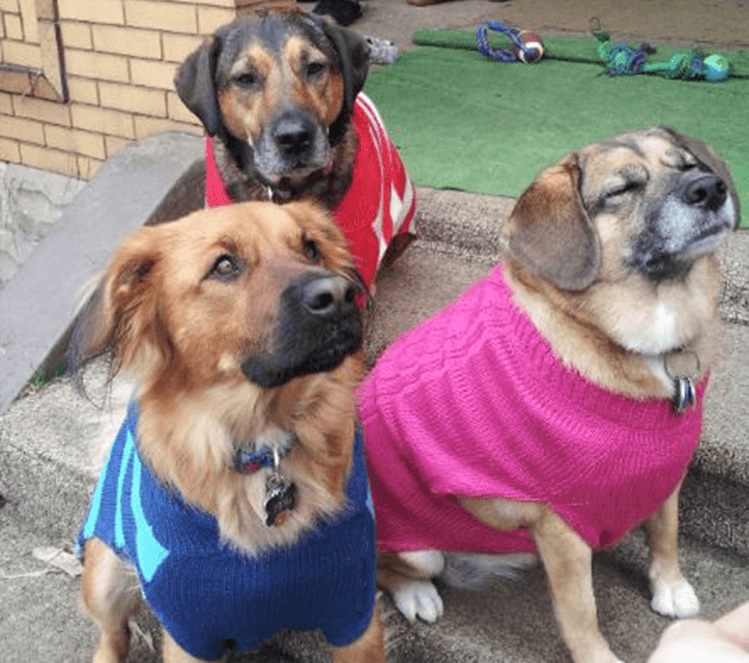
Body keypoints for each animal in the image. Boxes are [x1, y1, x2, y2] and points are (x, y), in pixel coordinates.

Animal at [75, 202, 382, 663]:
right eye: (224, 265)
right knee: (112, 633)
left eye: (311, 247)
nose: (340, 294)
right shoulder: (188, 633)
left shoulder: (356, 612)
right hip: (105, 575)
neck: (261, 440)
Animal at [360, 127, 740, 663]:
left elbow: (666, 531)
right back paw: (417, 595)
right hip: (417, 548)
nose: (710, 188)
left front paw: (670, 585)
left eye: (688, 165)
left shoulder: (665, 473)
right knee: (386, 572)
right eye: (622, 190)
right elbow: (582, 613)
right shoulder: (561, 525)